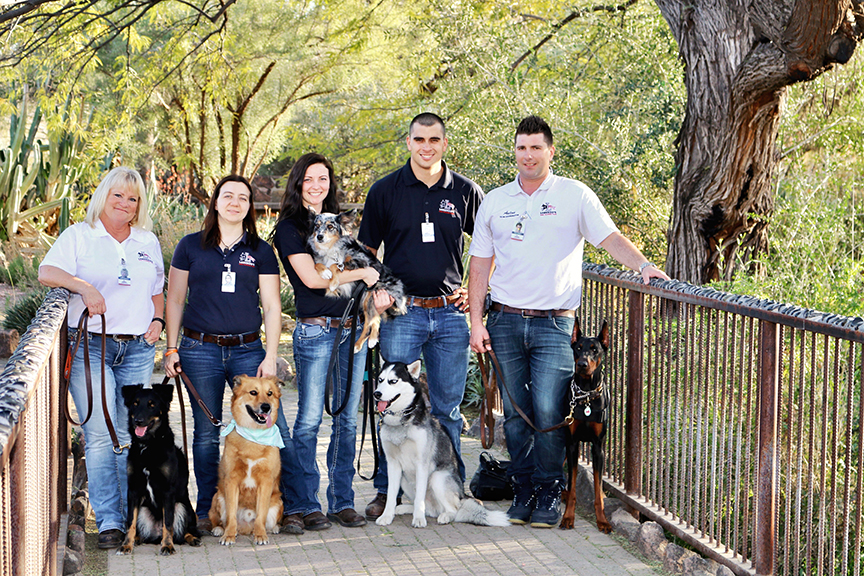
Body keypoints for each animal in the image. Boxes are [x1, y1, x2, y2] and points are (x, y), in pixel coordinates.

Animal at [118, 384, 201, 556]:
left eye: (152, 405)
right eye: (135, 404)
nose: (138, 421)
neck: (148, 445)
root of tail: (155, 534)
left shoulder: (168, 491)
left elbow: (168, 522)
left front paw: (167, 546)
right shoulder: (134, 489)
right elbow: (130, 521)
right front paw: (126, 545)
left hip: (183, 507)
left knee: (183, 532)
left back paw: (191, 538)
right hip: (143, 509)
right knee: (142, 531)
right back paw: (137, 539)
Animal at [560, 318, 616, 532]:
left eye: (595, 350)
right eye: (578, 348)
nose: (582, 364)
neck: (585, 395)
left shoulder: (598, 447)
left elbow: (597, 487)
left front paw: (602, 520)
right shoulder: (572, 444)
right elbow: (573, 485)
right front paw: (568, 517)